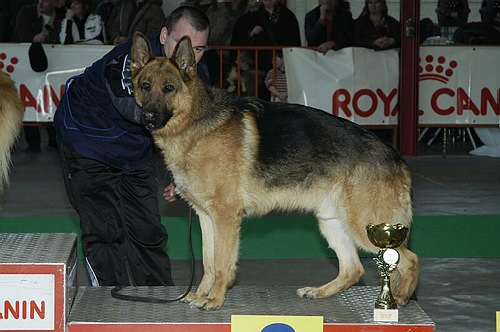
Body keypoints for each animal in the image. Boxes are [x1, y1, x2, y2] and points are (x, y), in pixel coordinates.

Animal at [128, 32, 418, 310]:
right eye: (145, 86)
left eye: (169, 88)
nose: (148, 117)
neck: (195, 124)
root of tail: (396, 156)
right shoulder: (206, 217)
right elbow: (209, 261)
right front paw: (201, 294)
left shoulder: (225, 216)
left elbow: (222, 263)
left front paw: (214, 299)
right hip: (331, 222)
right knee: (353, 269)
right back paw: (319, 292)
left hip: (368, 227)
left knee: (408, 260)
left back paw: (399, 299)